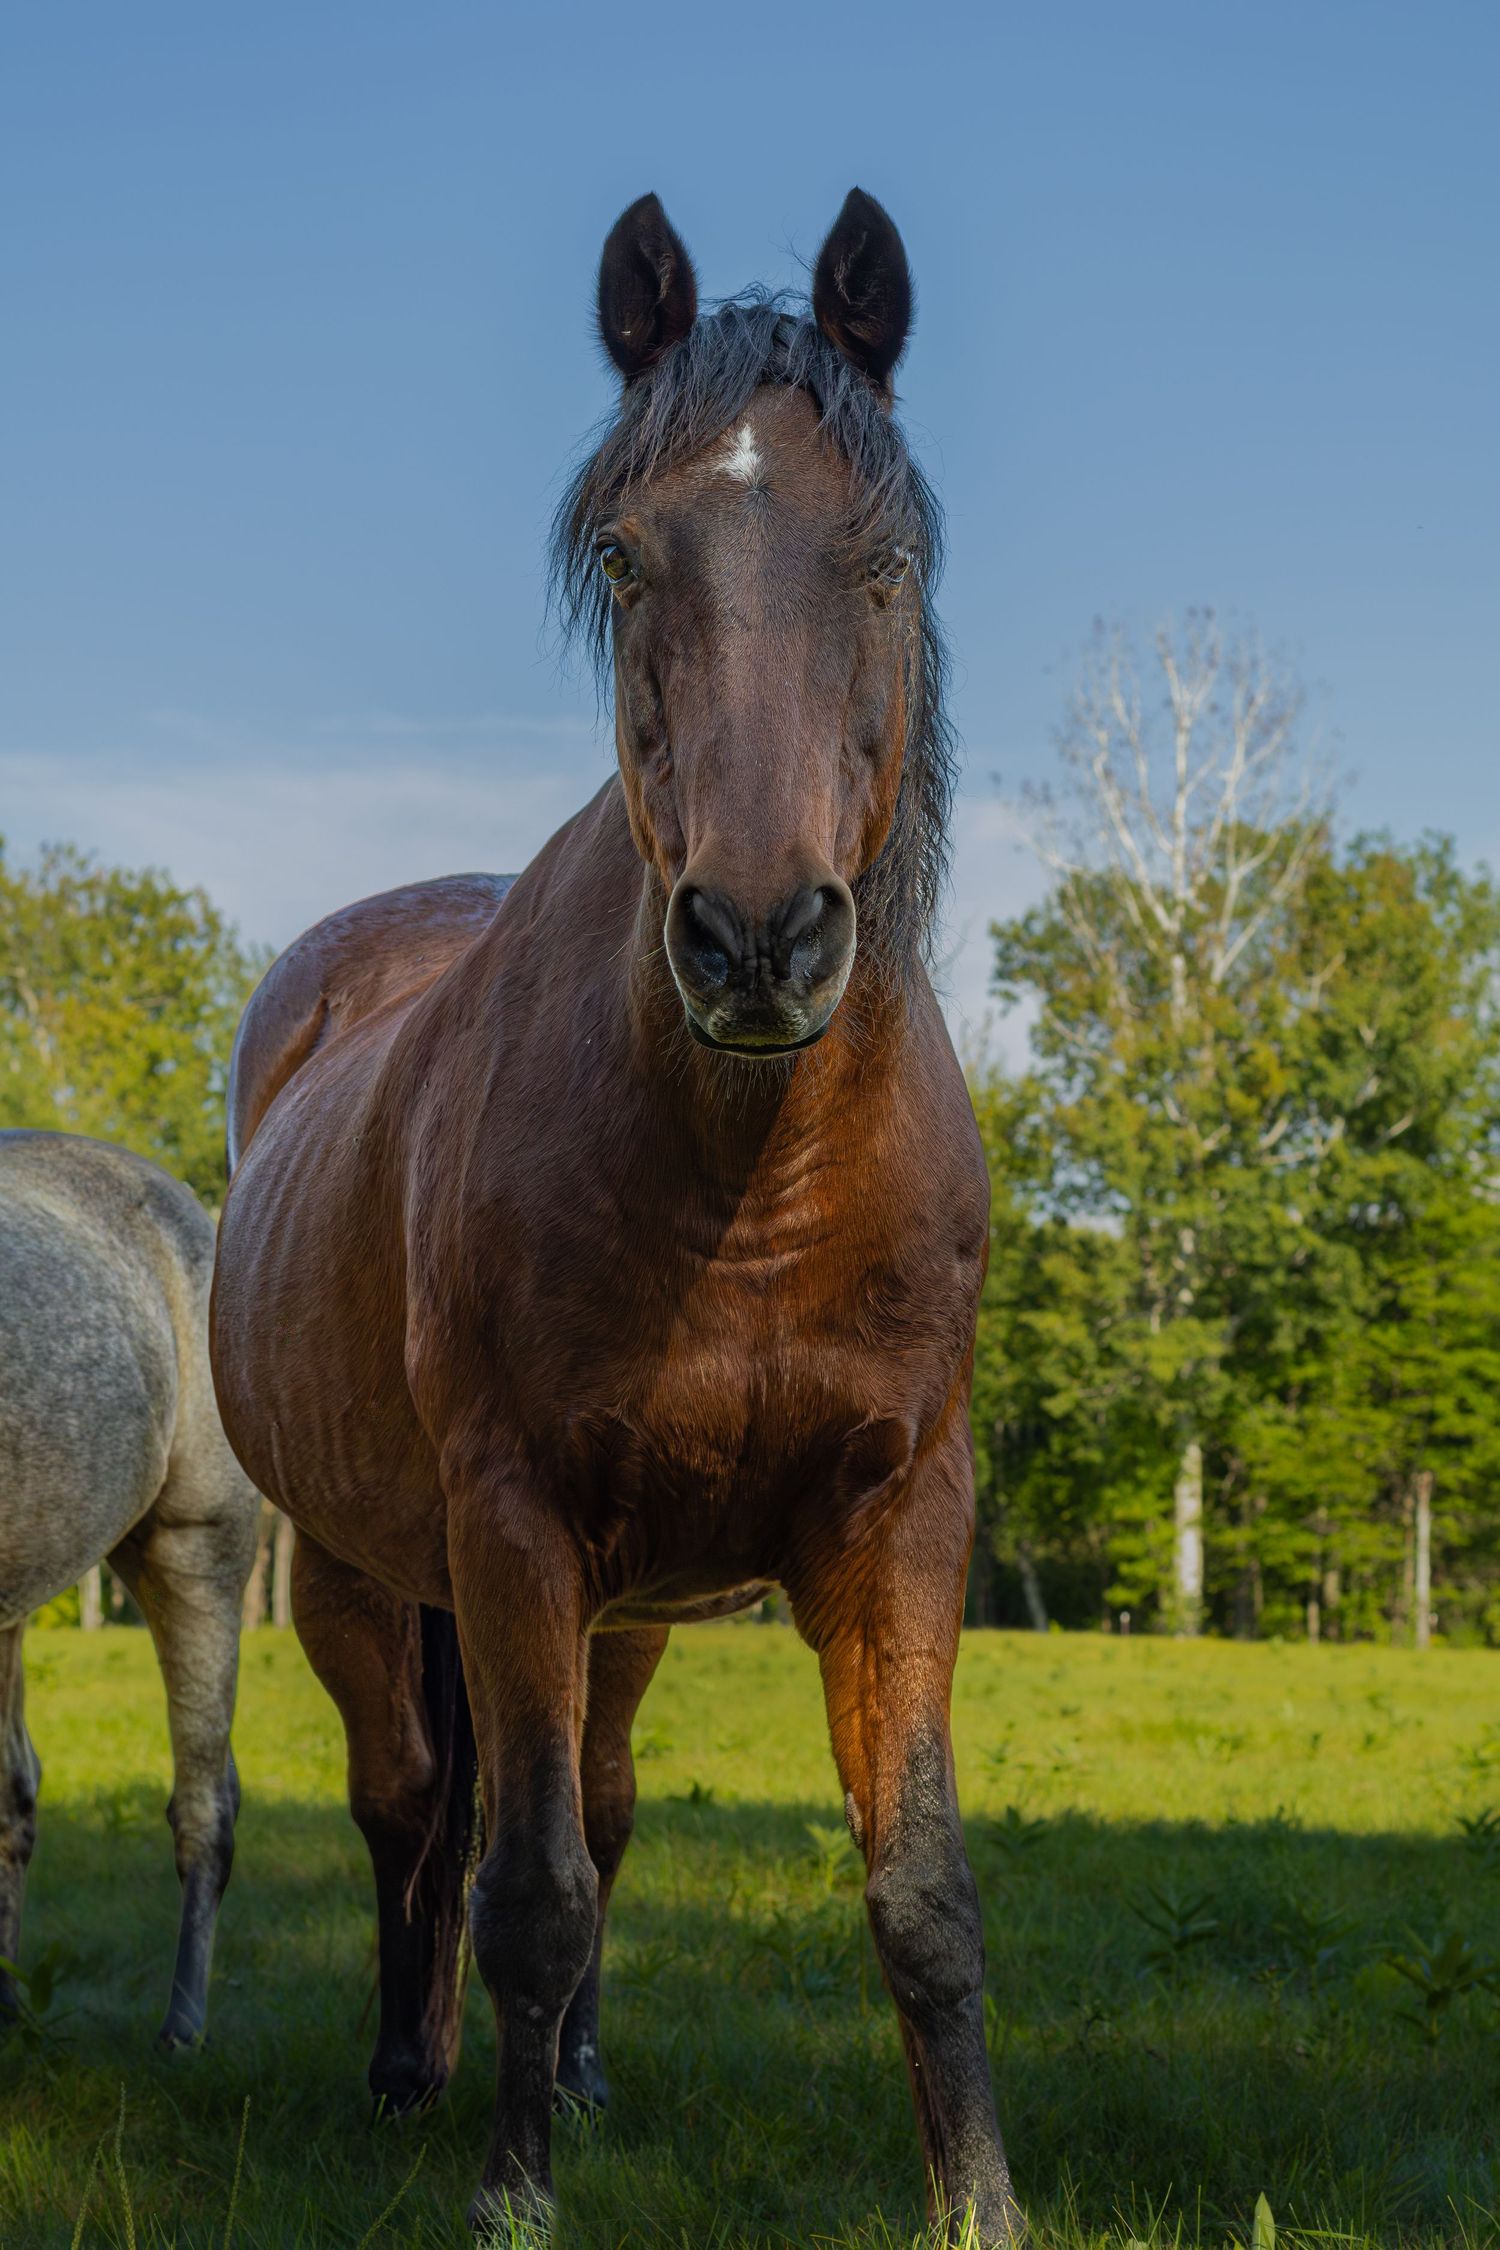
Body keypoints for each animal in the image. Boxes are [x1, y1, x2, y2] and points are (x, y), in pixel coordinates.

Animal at [210, 189, 1018, 2241]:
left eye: (888, 557)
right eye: (627, 556)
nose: (758, 936)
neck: (751, 1185)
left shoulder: (902, 1521)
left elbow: (919, 1892)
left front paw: (980, 2199)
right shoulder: (510, 1529)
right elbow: (526, 1886)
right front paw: (513, 2190)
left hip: (633, 1606)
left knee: (598, 1792)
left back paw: (568, 2069)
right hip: (364, 1573)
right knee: (420, 1806)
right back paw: (413, 2071)